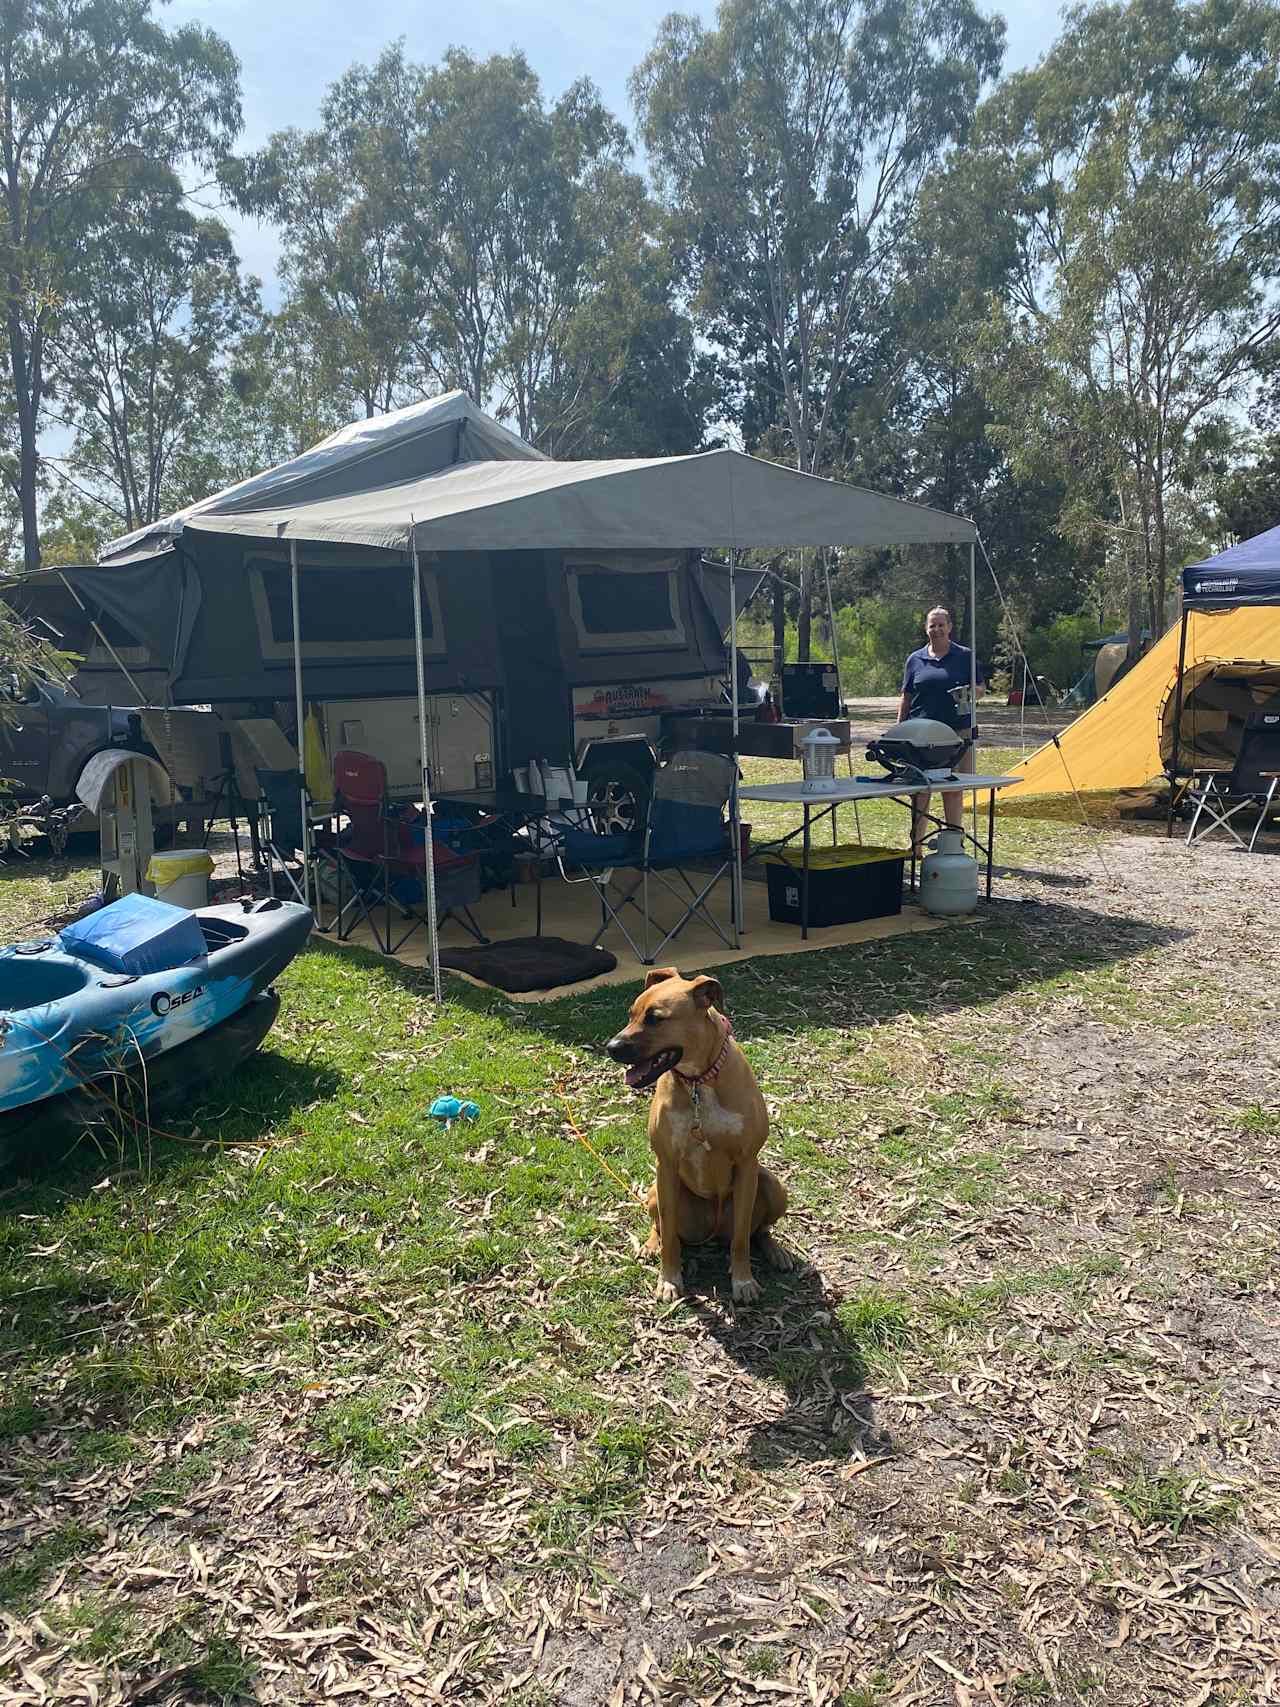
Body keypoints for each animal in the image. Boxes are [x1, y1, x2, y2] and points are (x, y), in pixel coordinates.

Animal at [604, 969, 791, 1297]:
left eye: (655, 1018)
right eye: (631, 1014)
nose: (611, 1047)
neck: (698, 1082)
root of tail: (713, 1232)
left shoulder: (747, 1164)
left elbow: (742, 1237)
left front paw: (743, 1280)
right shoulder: (665, 1165)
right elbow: (669, 1235)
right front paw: (669, 1279)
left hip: (772, 1185)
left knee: (758, 1231)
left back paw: (775, 1251)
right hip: (656, 1192)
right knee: (661, 1227)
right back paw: (651, 1245)